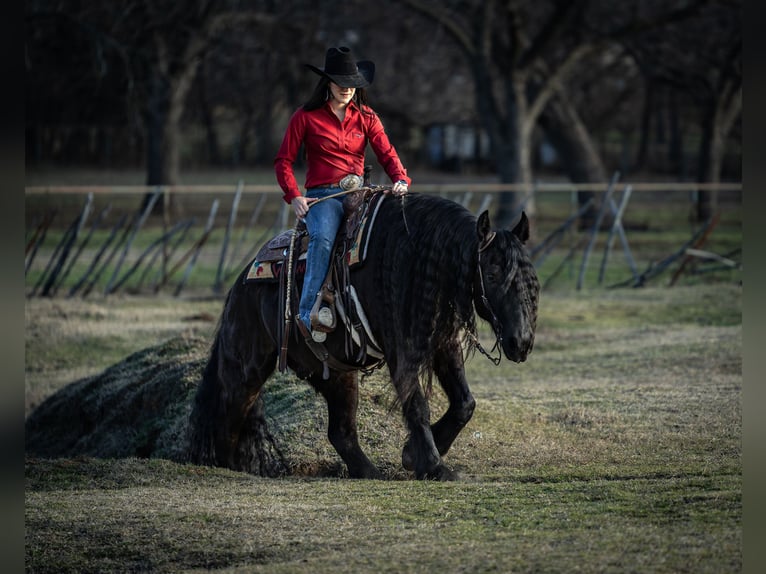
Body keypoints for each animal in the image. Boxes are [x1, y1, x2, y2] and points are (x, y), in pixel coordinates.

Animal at [190, 194, 544, 482]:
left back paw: (368, 471)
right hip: (245, 370)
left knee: (340, 432)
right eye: (493, 274)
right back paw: (229, 466)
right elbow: (417, 405)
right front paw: (433, 465)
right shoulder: (402, 351)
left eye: (531, 278)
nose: (521, 342)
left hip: (336, 374)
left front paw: (413, 455)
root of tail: (242, 282)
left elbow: (464, 403)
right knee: (227, 415)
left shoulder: (444, 344)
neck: (415, 261)